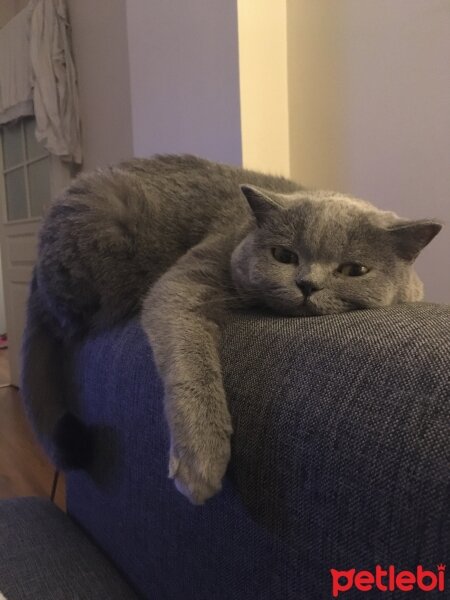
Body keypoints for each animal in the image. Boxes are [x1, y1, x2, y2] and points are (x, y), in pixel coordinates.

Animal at [20, 154, 440, 502]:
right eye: (283, 255)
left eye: (354, 270)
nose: (307, 284)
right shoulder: (183, 283)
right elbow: (192, 364)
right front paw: (200, 462)